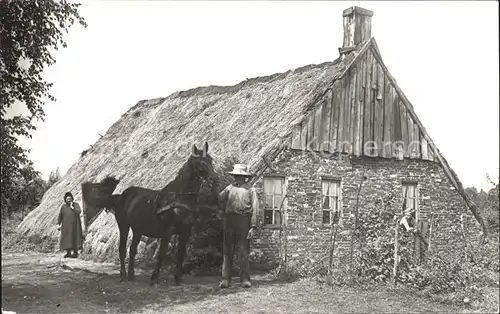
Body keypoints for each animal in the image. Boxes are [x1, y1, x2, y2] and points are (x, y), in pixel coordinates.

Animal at [101, 144, 217, 286]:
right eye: (199, 161)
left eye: (211, 160)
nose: (214, 179)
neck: (179, 199)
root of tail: (122, 195)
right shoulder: (167, 231)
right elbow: (162, 253)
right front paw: (154, 278)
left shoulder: (186, 231)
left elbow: (181, 254)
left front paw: (178, 279)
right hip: (124, 226)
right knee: (122, 249)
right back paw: (123, 275)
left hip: (138, 229)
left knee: (133, 249)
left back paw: (131, 275)